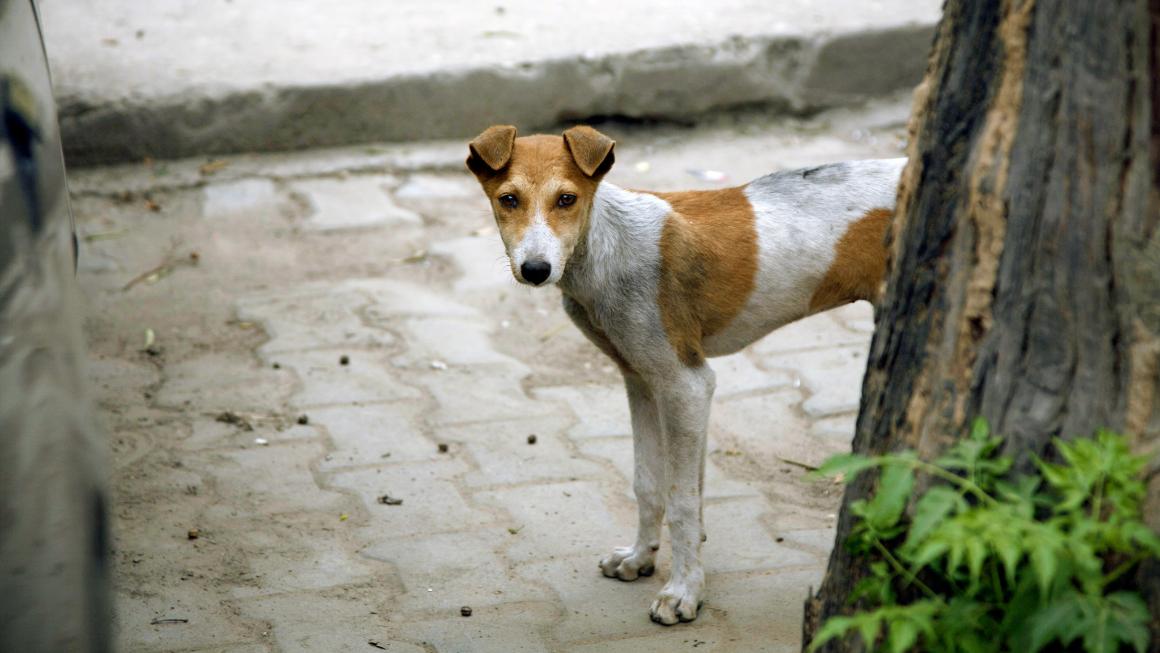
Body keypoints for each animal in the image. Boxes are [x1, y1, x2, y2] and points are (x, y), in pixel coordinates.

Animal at [466, 125, 900, 626]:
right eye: (508, 199)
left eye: (566, 199)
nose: (536, 270)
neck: (606, 246)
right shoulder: (641, 380)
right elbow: (649, 483)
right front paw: (640, 558)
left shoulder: (686, 383)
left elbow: (683, 500)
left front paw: (683, 592)